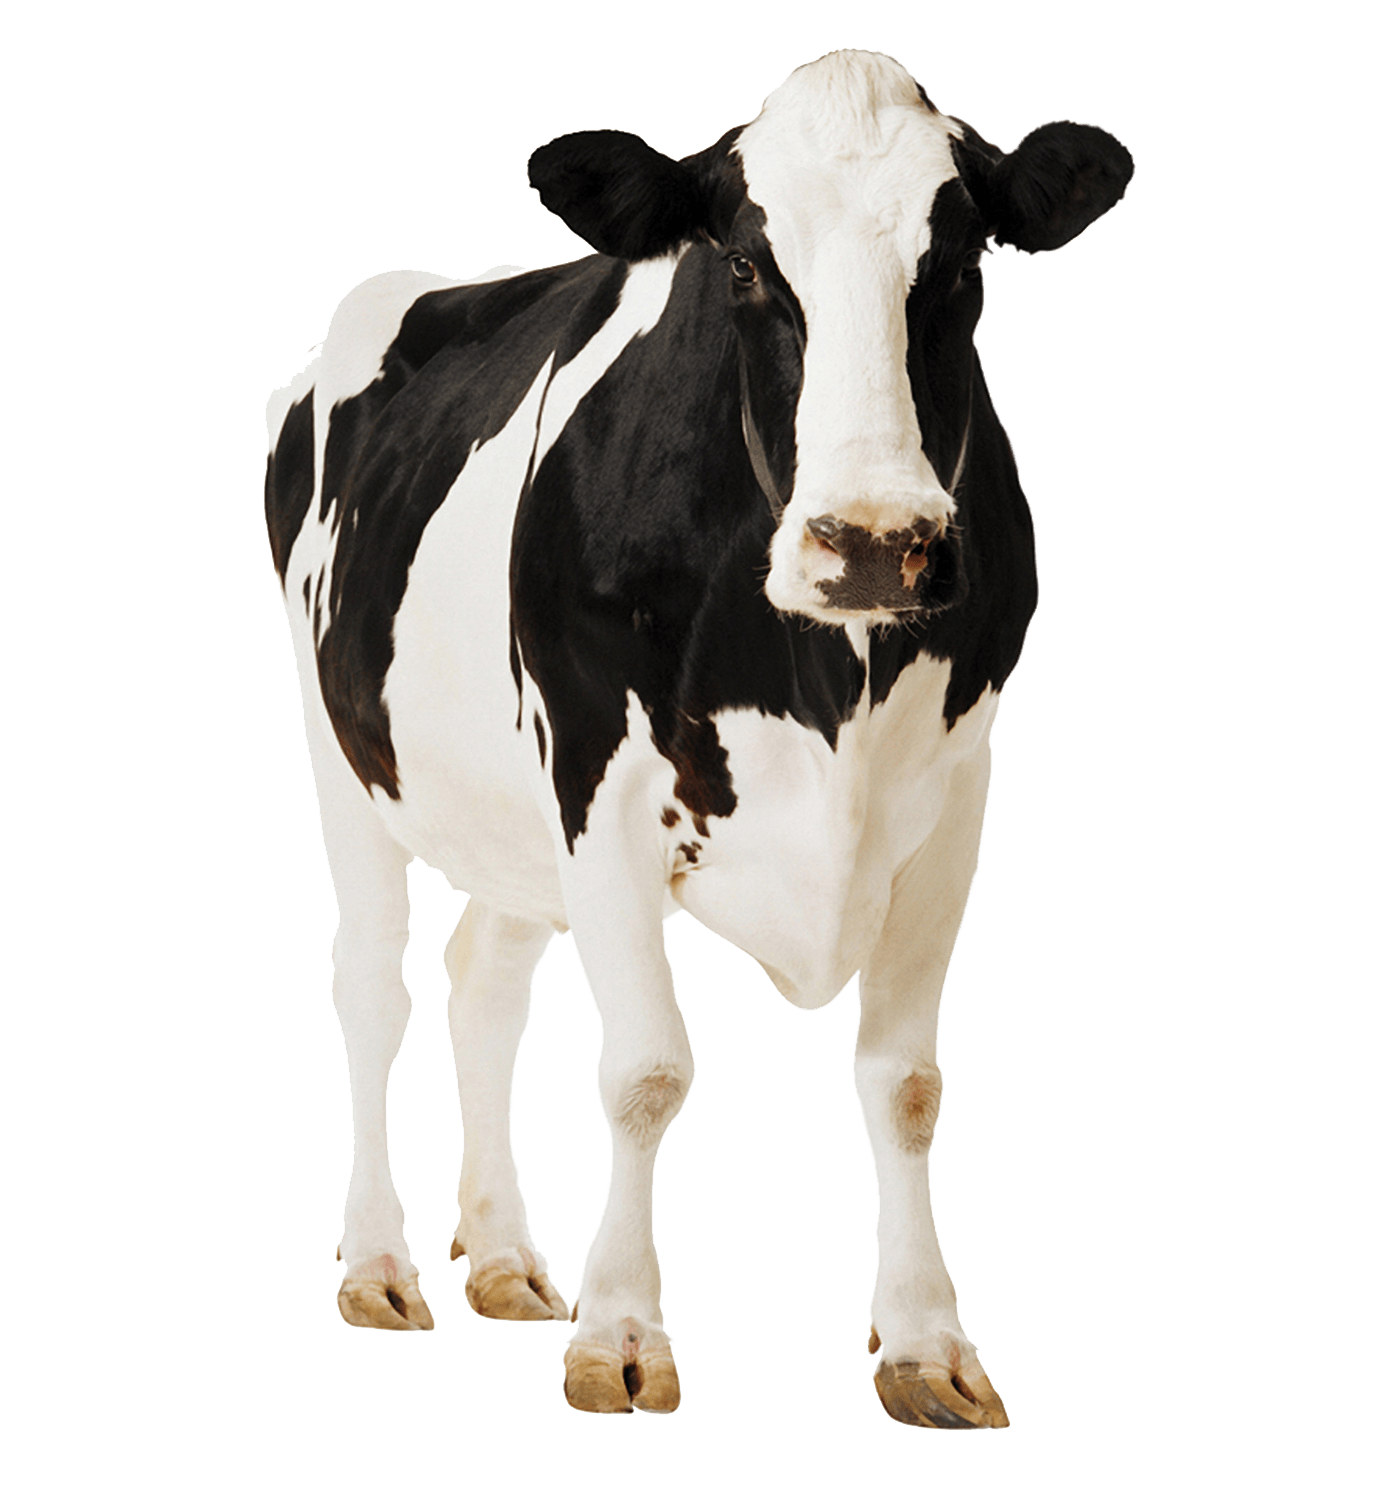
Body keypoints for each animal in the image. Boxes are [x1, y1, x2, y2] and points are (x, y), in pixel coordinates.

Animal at [263, 49, 1133, 1427]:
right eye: (738, 266)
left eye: (960, 260)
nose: (873, 541)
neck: (822, 672)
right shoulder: (599, 785)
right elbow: (645, 1071)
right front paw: (622, 1334)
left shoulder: (954, 802)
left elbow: (905, 1082)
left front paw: (925, 1342)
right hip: (341, 748)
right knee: (372, 983)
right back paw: (379, 1265)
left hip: (512, 817)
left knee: (482, 979)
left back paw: (501, 1256)